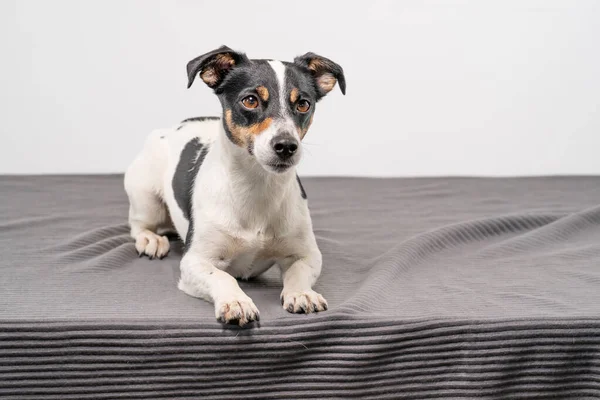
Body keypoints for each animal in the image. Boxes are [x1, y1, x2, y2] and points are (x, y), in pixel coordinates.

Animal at [124, 45, 344, 324]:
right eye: (250, 100)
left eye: (303, 104)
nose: (286, 146)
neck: (256, 187)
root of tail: (171, 128)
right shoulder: (195, 261)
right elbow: (222, 276)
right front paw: (236, 301)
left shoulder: (307, 254)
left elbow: (298, 272)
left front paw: (302, 293)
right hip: (146, 196)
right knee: (138, 225)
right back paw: (151, 240)